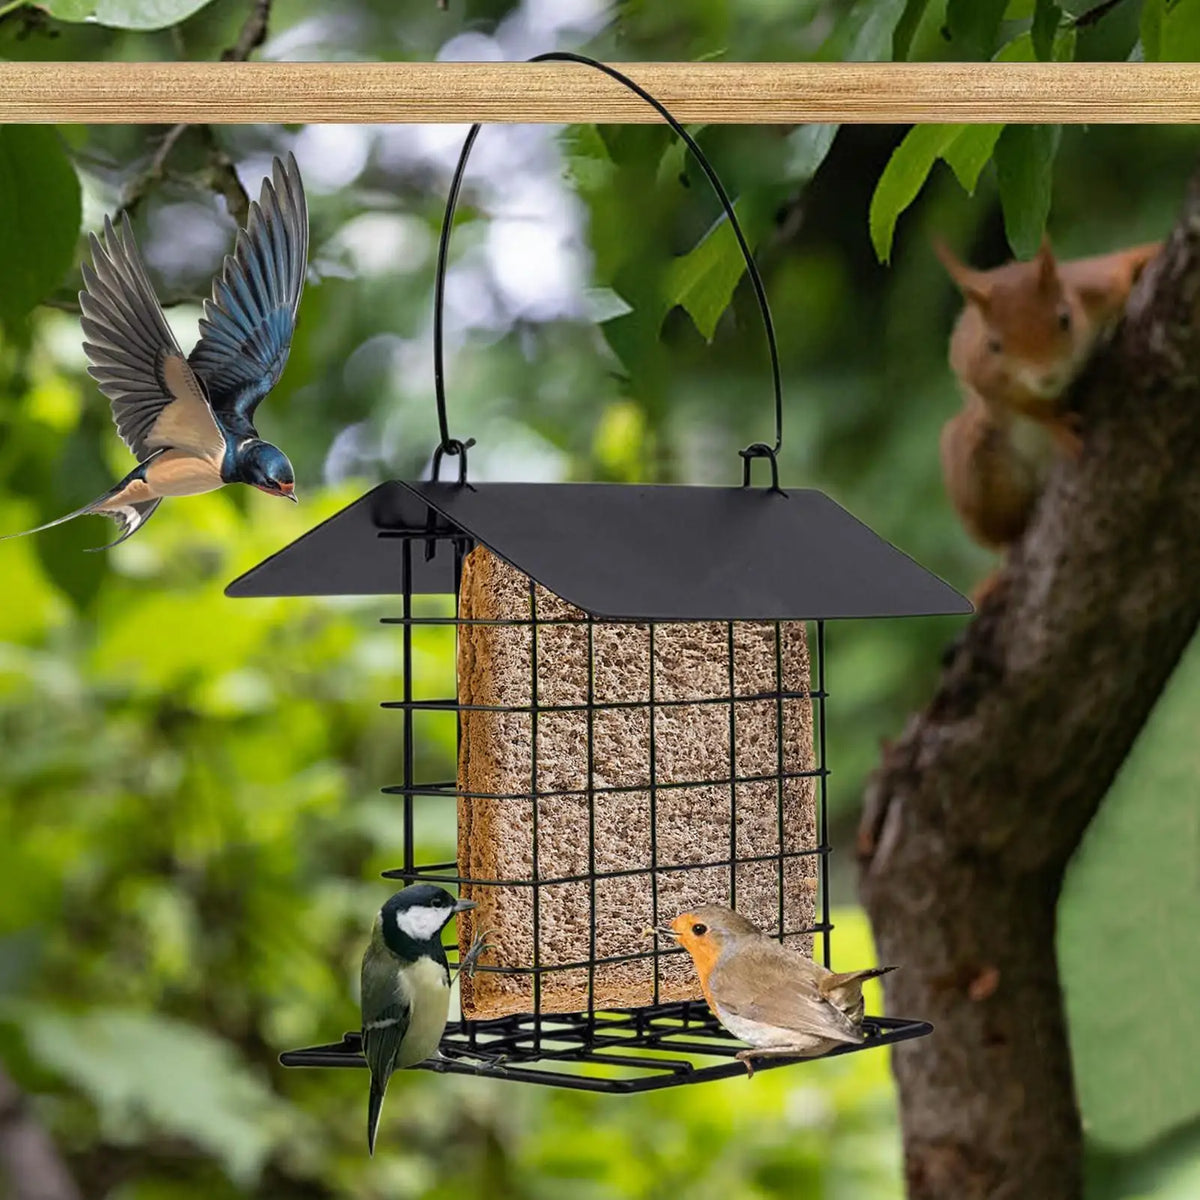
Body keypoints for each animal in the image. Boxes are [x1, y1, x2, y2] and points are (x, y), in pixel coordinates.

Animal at [937, 236, 1160, 561]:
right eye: (994, 345)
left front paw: (1152, 253)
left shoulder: (1098, 285)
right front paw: (1056, 425)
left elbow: (1124, 263)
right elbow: (1019, 405)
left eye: (1064, 319)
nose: (1046, 377)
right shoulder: (979, 373)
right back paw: (1010, 543)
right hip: (972, 466)